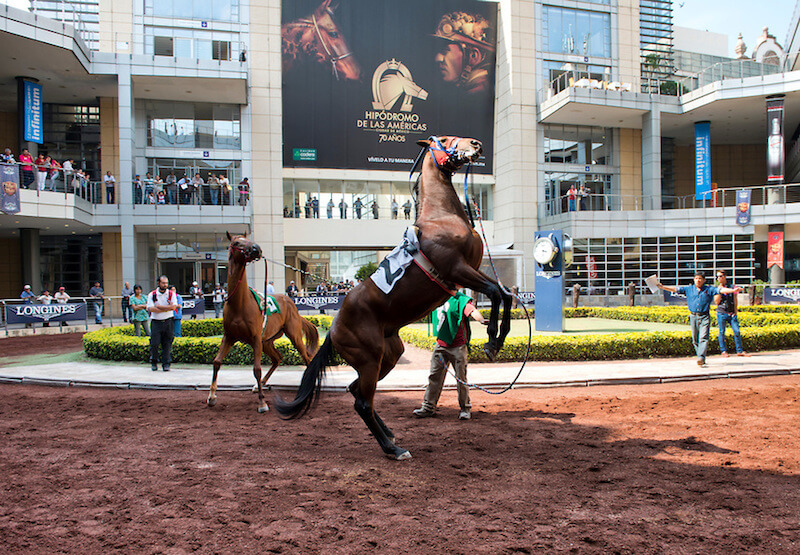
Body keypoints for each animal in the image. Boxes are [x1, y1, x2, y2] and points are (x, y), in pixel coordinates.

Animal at [206, 233, 268, 412]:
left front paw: (262, 402)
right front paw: (212, 396)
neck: (240, 304)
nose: (256, 248)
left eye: (247, 239)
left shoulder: (256, 338)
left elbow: (257, 369)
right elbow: (217, 362)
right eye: (237, 242)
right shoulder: (229, 336)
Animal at [276, 136, 512, 460]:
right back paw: (392, 448)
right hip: (369, 359)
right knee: (362, 401)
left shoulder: (470, 270)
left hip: (388, 356)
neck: (442, 217)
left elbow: (505, 294)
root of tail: (333, 330)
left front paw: (498, 339)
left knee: (357, 392)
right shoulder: (458, 269)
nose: (475, 144)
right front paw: (490, 341)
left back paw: (388, 433)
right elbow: (495, 293)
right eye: (446, 139)